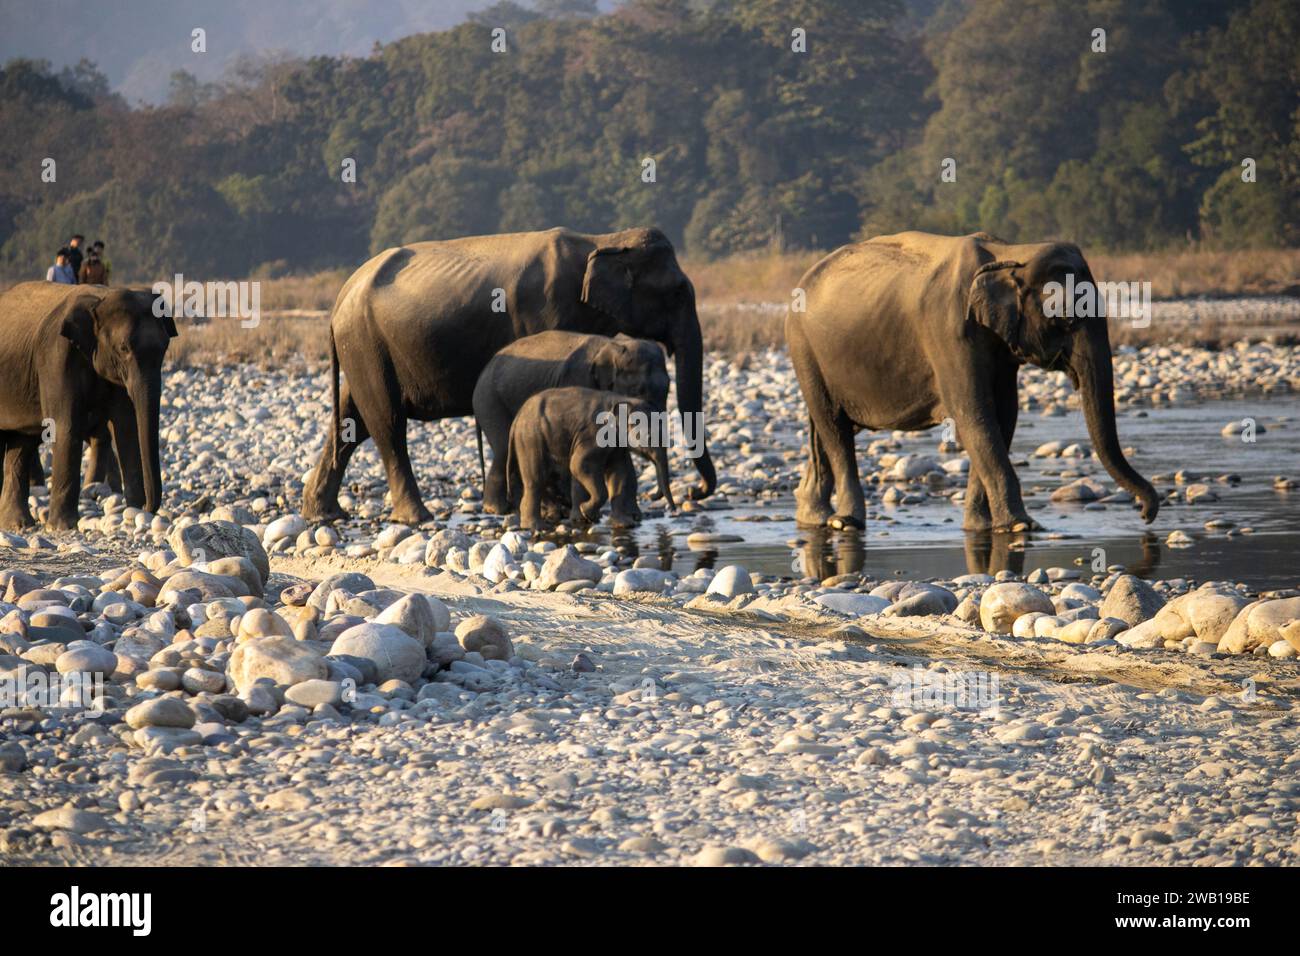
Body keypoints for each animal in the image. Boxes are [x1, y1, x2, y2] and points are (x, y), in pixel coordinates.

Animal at [0, 280, 175, 535]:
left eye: (164, 348)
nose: (148, 508)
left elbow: (126, 427)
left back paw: (18, 524)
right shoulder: (55, 358)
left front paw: (133, 511)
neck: (100, 299)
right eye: (123, 348)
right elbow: (67, 426)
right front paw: (61, 527)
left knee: (22, 444)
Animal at [470, 330, 670, 512]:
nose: (652, 497)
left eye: (668, 388)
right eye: (638, 390)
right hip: (490, 401)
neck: (612, 345)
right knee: (504, 449)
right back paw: (499, 509)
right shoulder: (579, 380)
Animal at [504, 387, 676, 535]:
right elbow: (578, 464)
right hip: (530, 439)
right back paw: (537, 527)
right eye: (649, 437)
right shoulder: (593, 434)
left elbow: (619, 472)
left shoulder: (617, 446)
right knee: (536, 480)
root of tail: (517, 418)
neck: (622, 399)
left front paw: (624, 524)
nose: (673, 510)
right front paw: (588, 512)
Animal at [785, 230, 1164, 530]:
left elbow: (1004, 415)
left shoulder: (1000, 347)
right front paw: (1020, 526)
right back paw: (845, 522)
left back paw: (814, 517)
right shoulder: (948, 330)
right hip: (804, 348)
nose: (1146, 514)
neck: (1011, 254)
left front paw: (980, 527)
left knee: (824, 428)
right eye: (1067, 321)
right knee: (833, 426)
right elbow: (974, 414)